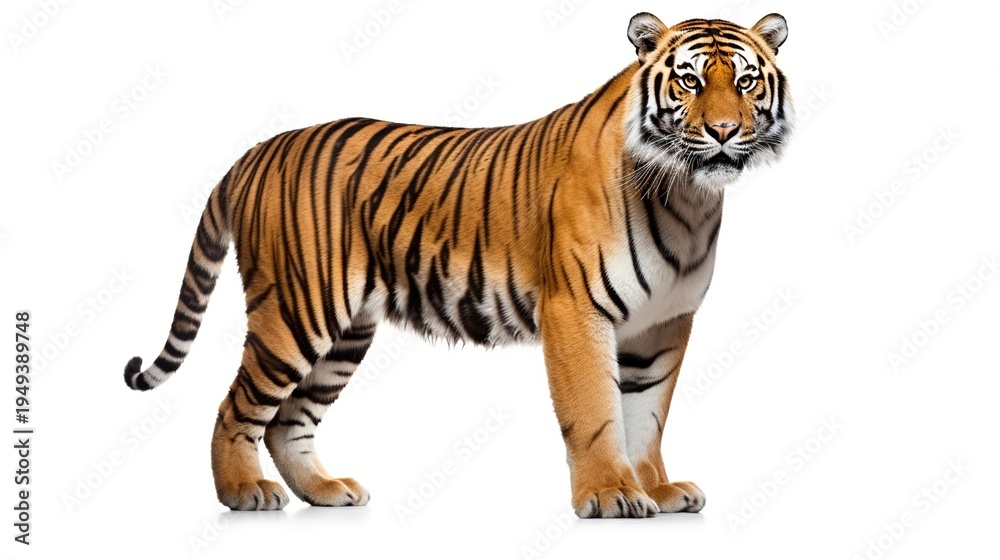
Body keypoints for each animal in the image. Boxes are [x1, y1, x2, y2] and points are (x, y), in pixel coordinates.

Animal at [123, 12, 792, 518]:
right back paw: (242, 491)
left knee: (288, 421)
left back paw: (326, 492)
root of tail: (257, 149)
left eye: (746, 82)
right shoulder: (576, 311)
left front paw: (655, 488)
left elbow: (646, 413)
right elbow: (598, 411)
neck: (689, 197)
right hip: (296, 311)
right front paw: (610, 495)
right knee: (237, 406)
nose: (724, 131)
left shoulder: (664, 324)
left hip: (345, 333)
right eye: (689, 82)